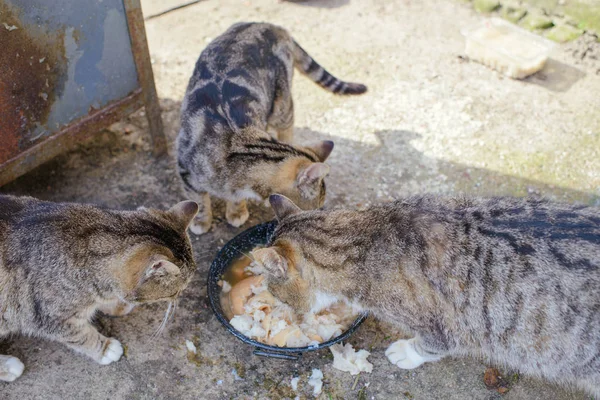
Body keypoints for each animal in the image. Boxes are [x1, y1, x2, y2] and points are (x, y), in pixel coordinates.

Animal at [0, 195, 199, 382]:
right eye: (175, 292)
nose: (178, 298)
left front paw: (117, 306)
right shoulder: (50, 318)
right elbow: (82, 335)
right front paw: (105, 348)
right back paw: (9, 367)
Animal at [176, 21, 368, 234]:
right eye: (315, 207)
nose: (319, 214)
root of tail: (270, 26)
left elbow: (235, 198)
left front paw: (236, 211)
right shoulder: (185, 170)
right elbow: (199, 200)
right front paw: (201, 221)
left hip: (280, 106)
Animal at [252, 194, 600, 396]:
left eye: (276, 294)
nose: (289, 314)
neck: (362, 239)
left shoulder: (444, 327)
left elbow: (430, 346)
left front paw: (406, 353)